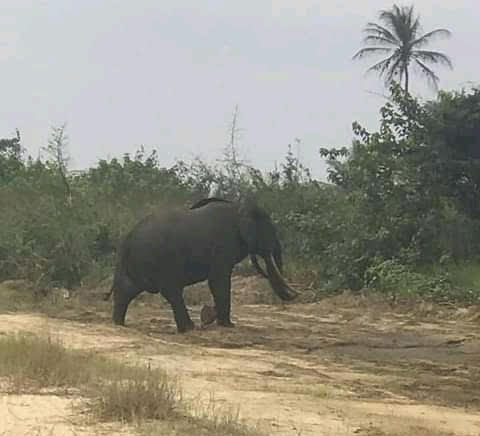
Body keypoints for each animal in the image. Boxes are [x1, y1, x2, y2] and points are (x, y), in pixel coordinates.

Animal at [104, 196, 296, 332]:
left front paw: (211, 317)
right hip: (160, 260)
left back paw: (119, 323)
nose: (294, 295)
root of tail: (128, 240)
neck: (240, 208)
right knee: (171, 290)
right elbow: (219, 281)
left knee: (127, 288)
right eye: (270, 231)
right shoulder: (223, 246)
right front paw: (227, 325)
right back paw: (189, 328)